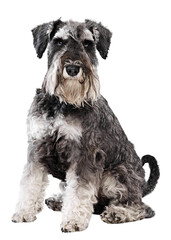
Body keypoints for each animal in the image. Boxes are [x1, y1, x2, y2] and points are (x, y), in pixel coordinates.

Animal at [11, 18, 160, 232]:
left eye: (88, 44)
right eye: (58, 41)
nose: (73, 68)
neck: (63, 102)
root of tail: (142, 187)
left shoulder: (84, 153)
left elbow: (80, 190)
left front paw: (73, 220)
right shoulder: (37, 147)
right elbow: (30, 181)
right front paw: (24, 212)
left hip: (116, 175)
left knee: (140, 207)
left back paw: (118, 213)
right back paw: (58, 201)